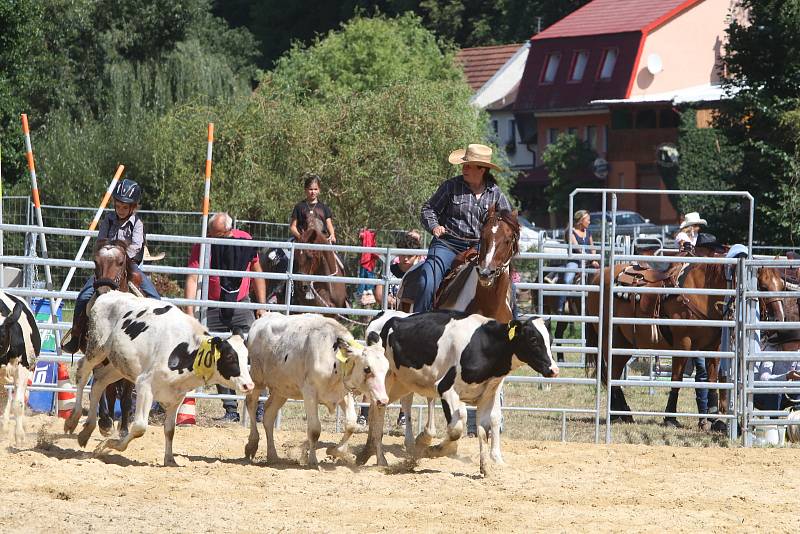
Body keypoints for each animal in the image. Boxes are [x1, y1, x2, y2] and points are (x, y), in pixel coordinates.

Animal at [64, 292, 255, 466]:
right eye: (230, 357)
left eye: (247, 358)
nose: (249, 385)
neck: (185, 352)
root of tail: (108, 294)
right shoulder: (144, 385)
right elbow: (140, 427)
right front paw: (109, 445)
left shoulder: (176, 397)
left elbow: (170, 430)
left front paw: (170, 460)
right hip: (96, 349)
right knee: (82, 374)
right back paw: (73, 420)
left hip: (117, 365)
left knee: (99, 382)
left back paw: (86, 431)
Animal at [247, 314, 390, 468]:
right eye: (367, 369)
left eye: (387, 369)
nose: (383, 400)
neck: (334, 360)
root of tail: (260, 320)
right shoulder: (309, 392)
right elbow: (315, 429)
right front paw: (312, 460)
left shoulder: (344, 394)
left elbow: (351, 424)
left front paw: (335, 451)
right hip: (256, 379)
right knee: (251, 403)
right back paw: (251, 445)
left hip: (281, 390)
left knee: (268, 415)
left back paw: (272, 455)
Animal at [360, 310, 556, 478]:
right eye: (533, 339)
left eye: (551, 340)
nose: (554, 369)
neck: (484, 345)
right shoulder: (446, 388)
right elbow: (457, 427)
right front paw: (432, 449)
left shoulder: (487, 395)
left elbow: (485, 428)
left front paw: (486, 468)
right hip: (385, 380)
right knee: (380, 411)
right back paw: (382, 458)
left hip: (402, 384)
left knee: (383, 408)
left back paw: (368, 452)